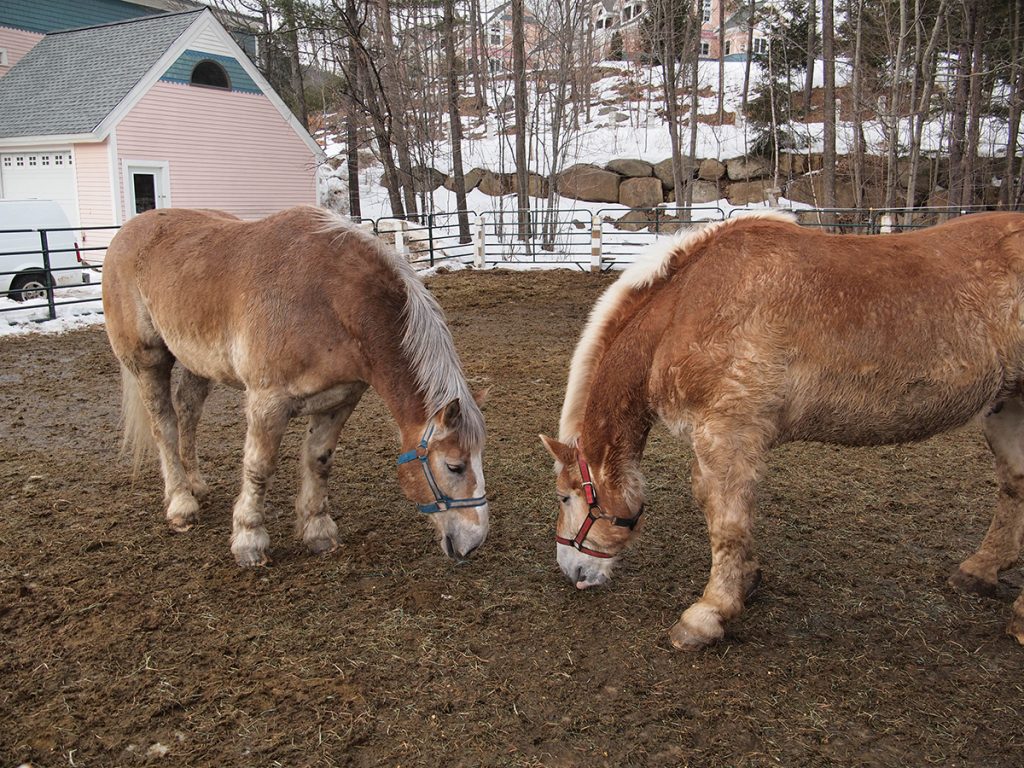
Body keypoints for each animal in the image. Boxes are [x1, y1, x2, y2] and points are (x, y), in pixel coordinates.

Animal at [103, 207, 487, 569]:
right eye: (455, 466)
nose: (474, 541)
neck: (329, 300)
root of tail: (126, 233)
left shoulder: (340, 400)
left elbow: (319, 461)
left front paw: (318, 532)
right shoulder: (267, 403)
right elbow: (259, 468)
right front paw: (249, 541)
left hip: (197, 362)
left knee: (187, 411)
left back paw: (196, 483)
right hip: (148, 361)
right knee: (164, 426)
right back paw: (182, 503)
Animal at [540, 210, 1019, 651]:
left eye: (566, 497)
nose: (570, 571)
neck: (686, 306)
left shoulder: (726, 434)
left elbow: (726, 521)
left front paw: (707, 615)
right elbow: (723, 508)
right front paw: (746, 580)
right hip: (1008, 405)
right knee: (1014, 486)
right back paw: (981, 572)